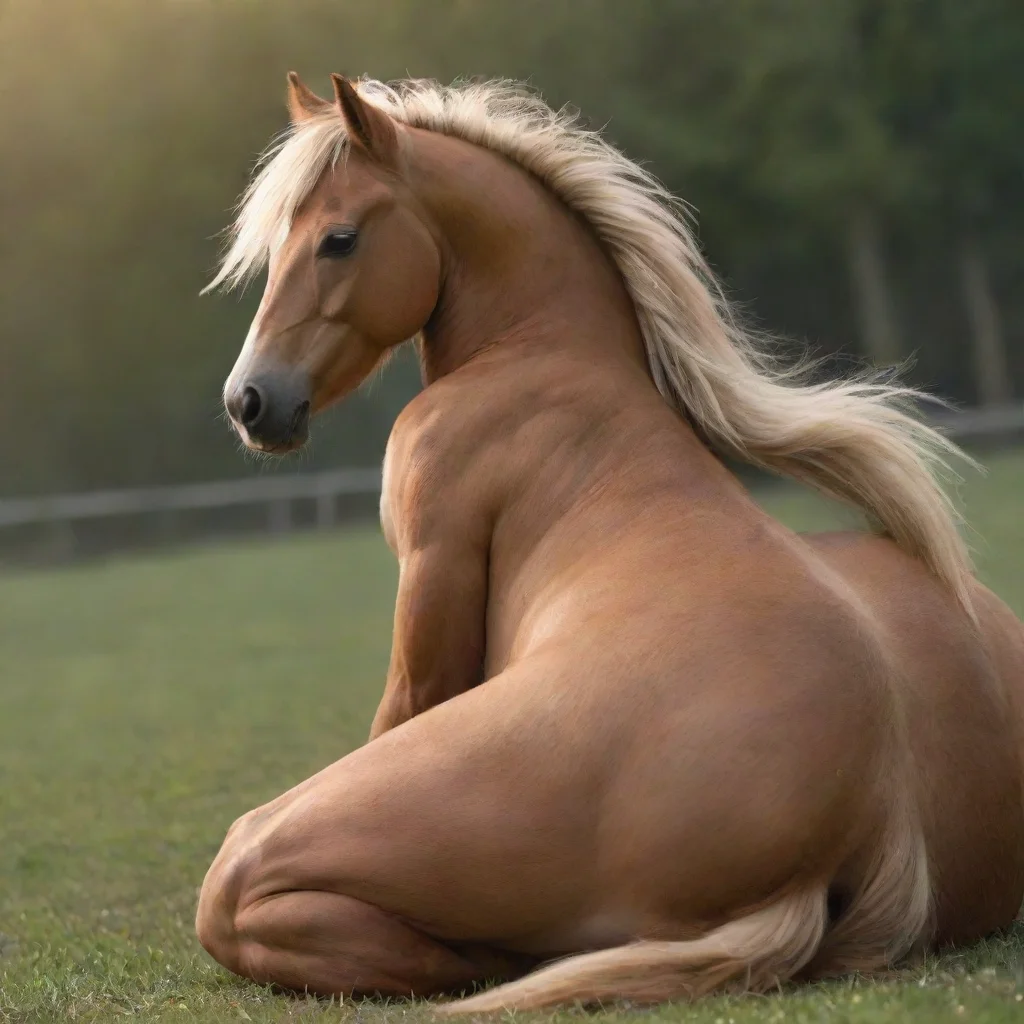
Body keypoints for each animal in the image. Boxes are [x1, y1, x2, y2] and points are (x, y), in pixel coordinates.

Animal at [194, 72, 1024, 1013]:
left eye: (338, 238)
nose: (251, 401)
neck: (536, 358)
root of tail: (852, 828)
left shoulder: (433, 562)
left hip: (310, 828)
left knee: (242, 896)